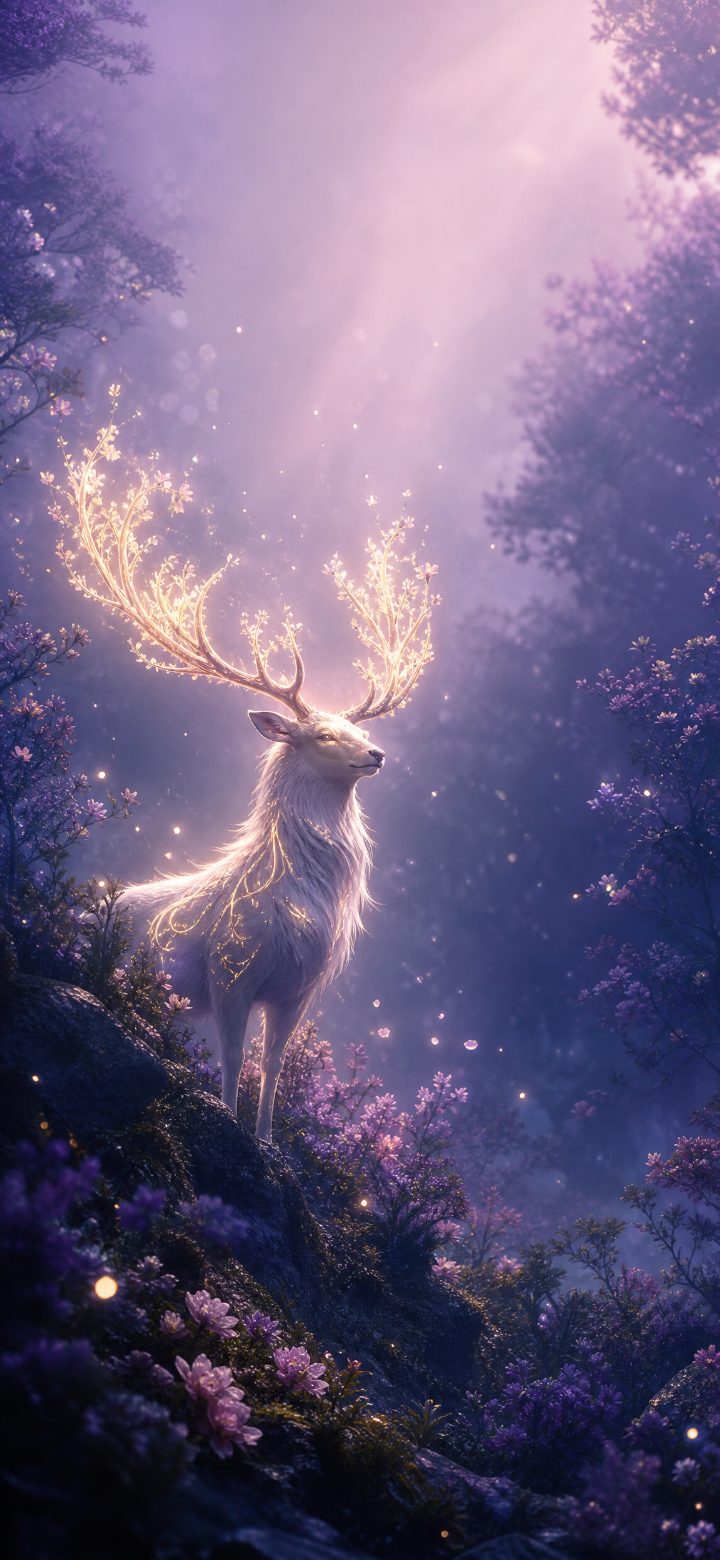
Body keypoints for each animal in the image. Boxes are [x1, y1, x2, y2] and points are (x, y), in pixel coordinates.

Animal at [51, 396, 438, 1142]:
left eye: (359, 729)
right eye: (323, 734)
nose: (377, 754)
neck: (301, 901)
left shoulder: (298, 990)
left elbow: (274, 1070)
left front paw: (264, 1141)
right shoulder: (229, 971)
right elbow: (232, 1064)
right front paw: (230, 1127)